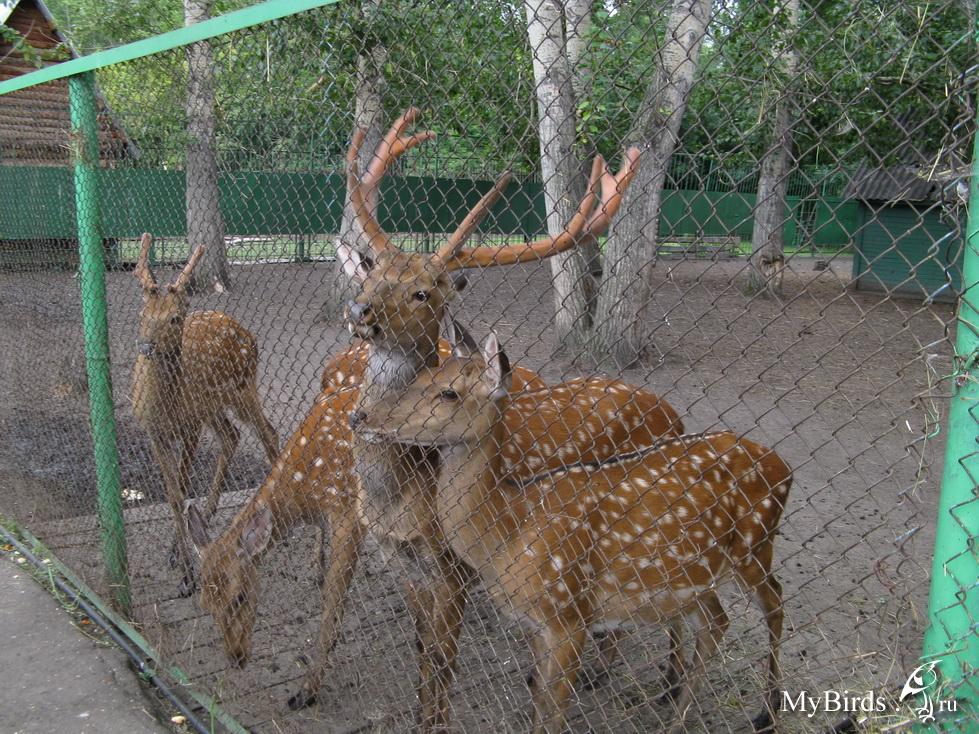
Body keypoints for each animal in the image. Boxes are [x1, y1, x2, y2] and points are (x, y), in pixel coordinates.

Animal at [134, 233, 280, 596]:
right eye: (143, 313)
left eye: (175, 317)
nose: (146, 349)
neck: (165, 408)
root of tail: (246, 333)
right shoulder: (154, 432)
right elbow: (174, 495)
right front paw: (177, 558)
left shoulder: (190, 426)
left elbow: (183, 489)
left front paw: (187, 574)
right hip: (214, 407)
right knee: (232, 435)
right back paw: (208, 515)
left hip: (242, 389)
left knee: (268, 432)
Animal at [188, 112, 684, 716]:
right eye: (371, 272)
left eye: (424, 292)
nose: (360, 310)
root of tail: (674, 414)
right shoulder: (405, 562)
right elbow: (424, 659)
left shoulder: (436, 562)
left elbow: (418, 654)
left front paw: (307, 689)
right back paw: (603, 671)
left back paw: (665, 685)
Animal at [352, 334, 796, 734]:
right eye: (425, 373)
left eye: (449, 392)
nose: (362, 417)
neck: (510, 532)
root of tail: (784, 466)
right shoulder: (534, 623)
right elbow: (538, 697)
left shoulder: (571, 613)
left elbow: (555, 709)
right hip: (696, 575)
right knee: (716, 621)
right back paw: (676, 712)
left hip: (755, 545)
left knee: (774, 602)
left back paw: (767, 712)